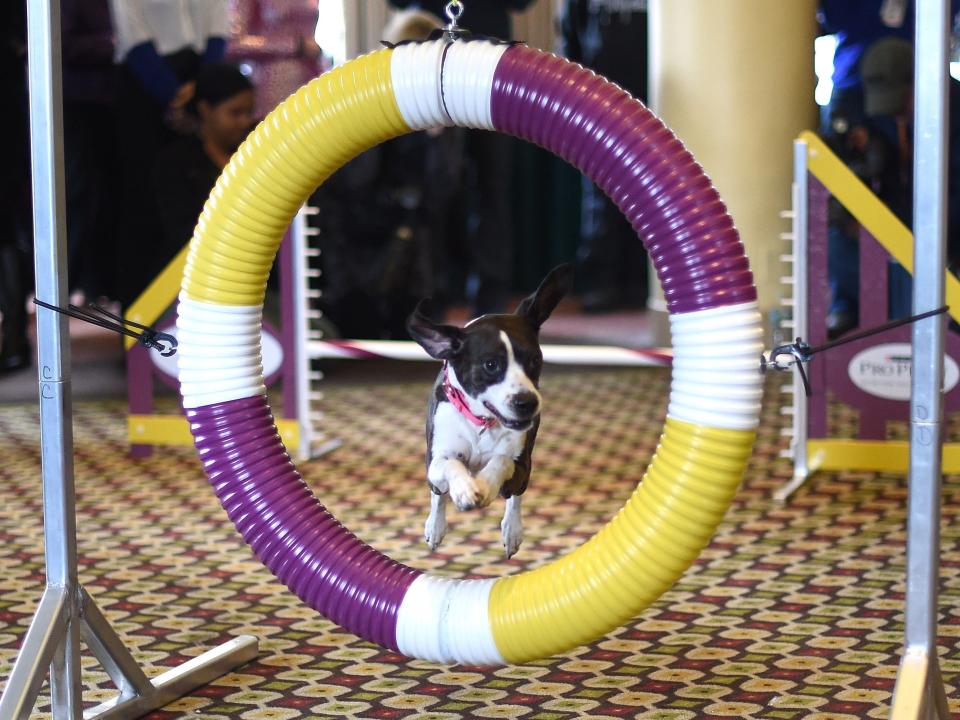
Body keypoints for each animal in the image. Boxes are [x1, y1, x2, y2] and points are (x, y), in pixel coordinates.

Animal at [404, 264, 568, 556]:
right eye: (491, 364)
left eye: (535, 360)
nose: (527, 402)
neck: (481, 421)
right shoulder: (434, 462)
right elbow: (450, 464)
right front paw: (464, 490)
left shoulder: (521, 464)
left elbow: (503, 461)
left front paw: (485, 485)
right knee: (438, 495)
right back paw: (435, 526)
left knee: (515, 499)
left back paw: (512, 531)